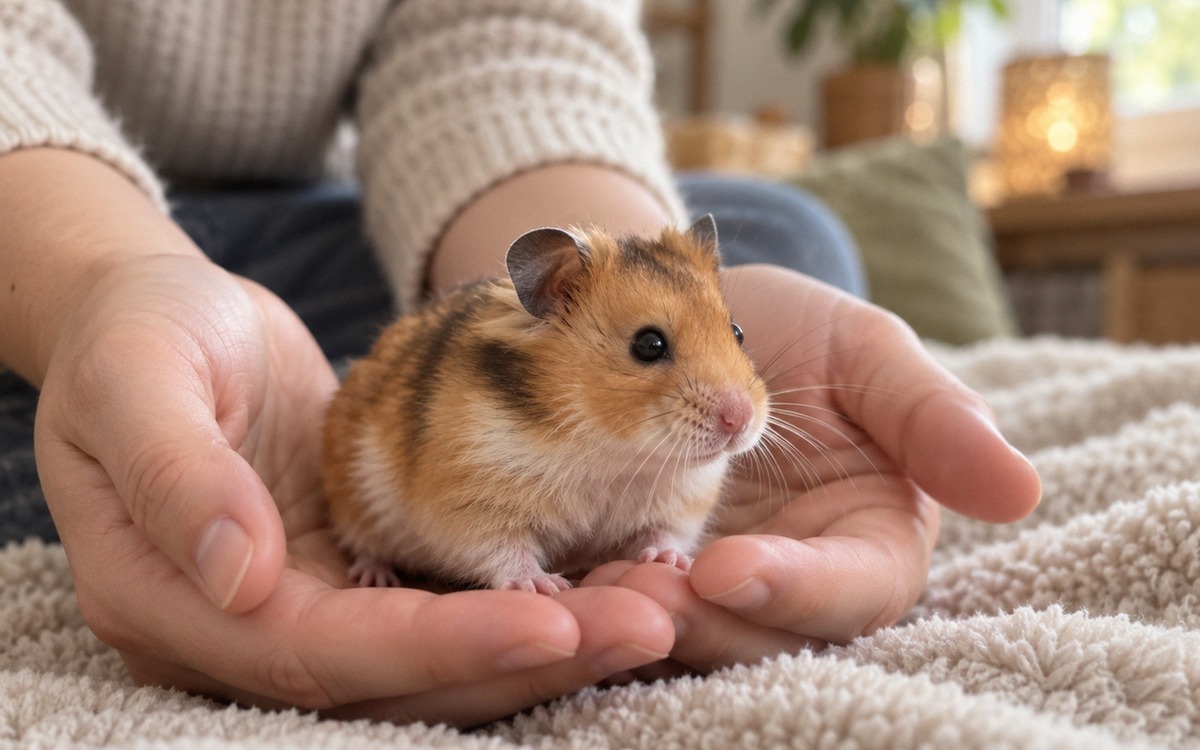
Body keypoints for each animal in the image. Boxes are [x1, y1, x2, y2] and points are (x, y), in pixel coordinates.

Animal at [321, 215, 769, 594]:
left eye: (737, 332)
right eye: (648, 344)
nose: (741, 420)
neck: (613, 452)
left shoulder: (683, 503)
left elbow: (667, 533)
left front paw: (671, 562)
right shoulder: (470, 504)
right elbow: (502, 551)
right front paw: (544, 586)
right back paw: (375, 577)